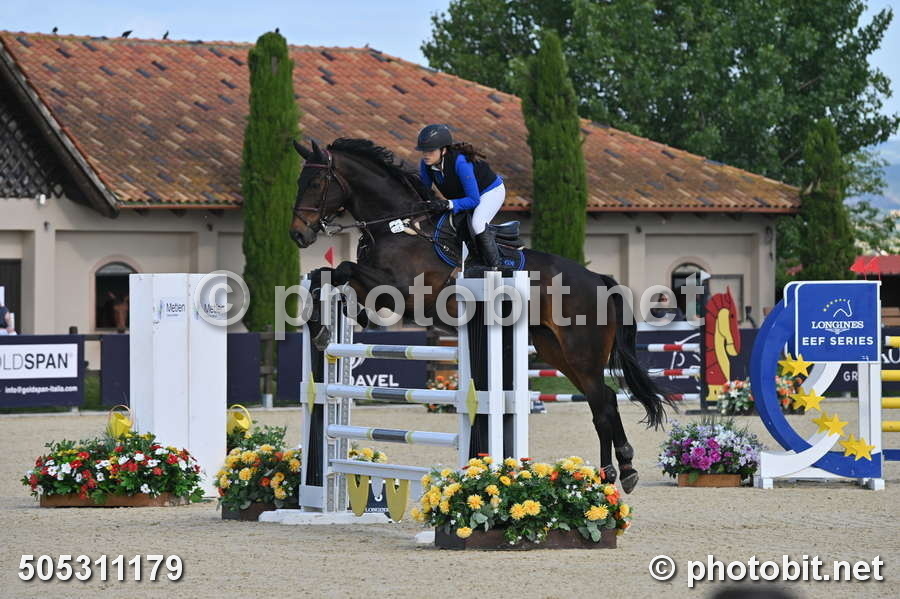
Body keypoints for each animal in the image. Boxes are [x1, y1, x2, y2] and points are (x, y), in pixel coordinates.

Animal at [289, 137, 673, 493]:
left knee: (602, 404)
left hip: (582, 353)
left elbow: (344, 269)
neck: (398, 227)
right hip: (556, 352)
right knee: (602, 400)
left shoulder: (405, 292)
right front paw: (328, 324)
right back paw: (617, 470)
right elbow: (330, 274)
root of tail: (598, 279)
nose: (298, 234)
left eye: (315, 183)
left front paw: (334, 323)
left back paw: (616, 472)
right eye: (299, 181)